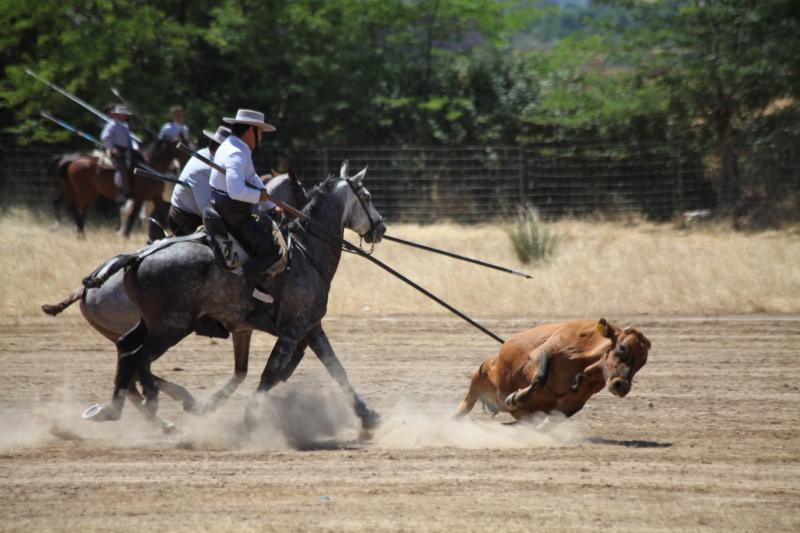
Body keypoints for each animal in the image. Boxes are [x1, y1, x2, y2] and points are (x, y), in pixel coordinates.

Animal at [56, 139, 189, 235]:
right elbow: (133, 215)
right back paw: (79, 232)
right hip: (83, 192)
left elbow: (153, 215)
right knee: (74, 207)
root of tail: (73, 162)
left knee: (74, 207)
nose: (182, 168)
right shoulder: (140, 198)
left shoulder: (153, 198)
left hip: (84, 192)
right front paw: (125, 235)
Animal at [79, 161, 386, 428]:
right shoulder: (293, 330)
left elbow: (334, 368)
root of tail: (137, 258)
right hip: (170, 329)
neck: (305, 251)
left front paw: (367, 415)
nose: (381, 227)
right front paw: (250, 418)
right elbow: (270, 372)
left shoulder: (298, 327)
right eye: (368, 196)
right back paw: (130, 408)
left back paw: (133, 409)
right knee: (134, 360)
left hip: (149, 324)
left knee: (126, 352)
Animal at [456, 320, 648, 420]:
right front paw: (515, 397)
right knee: (464, 407)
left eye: (643, 361)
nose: (621, 386)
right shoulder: (541, 353)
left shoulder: (574, 402)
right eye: (621, 348)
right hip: (476, 383)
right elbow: (540, 377)